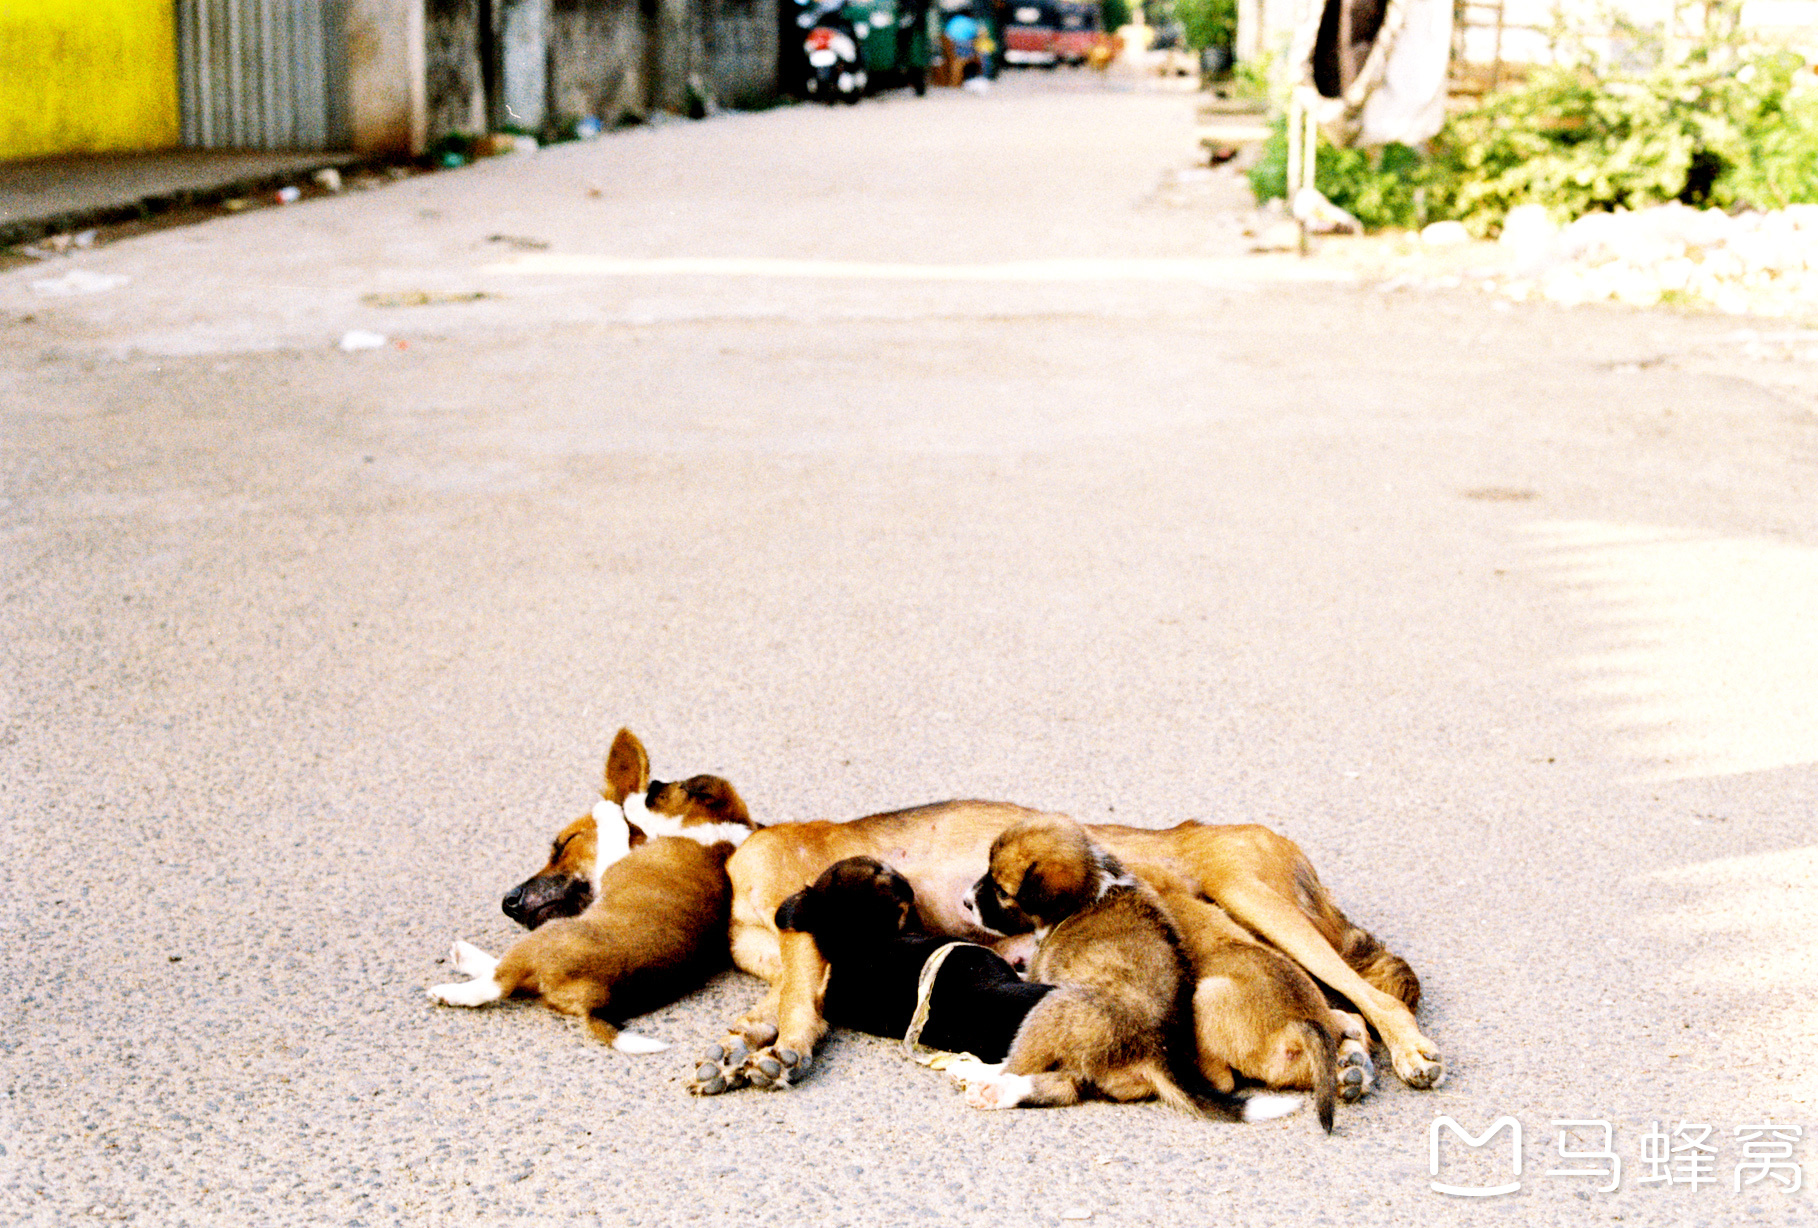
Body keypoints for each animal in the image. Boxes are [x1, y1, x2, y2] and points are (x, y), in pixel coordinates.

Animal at [429, 731, 756, 1055]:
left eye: (565, 843)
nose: (508, 903)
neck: (715, 834)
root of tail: (594, 1001)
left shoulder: (615, 859)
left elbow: (619, 825)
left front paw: (614, 810)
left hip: (547, 933)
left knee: (498, 981)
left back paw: (450, 987)